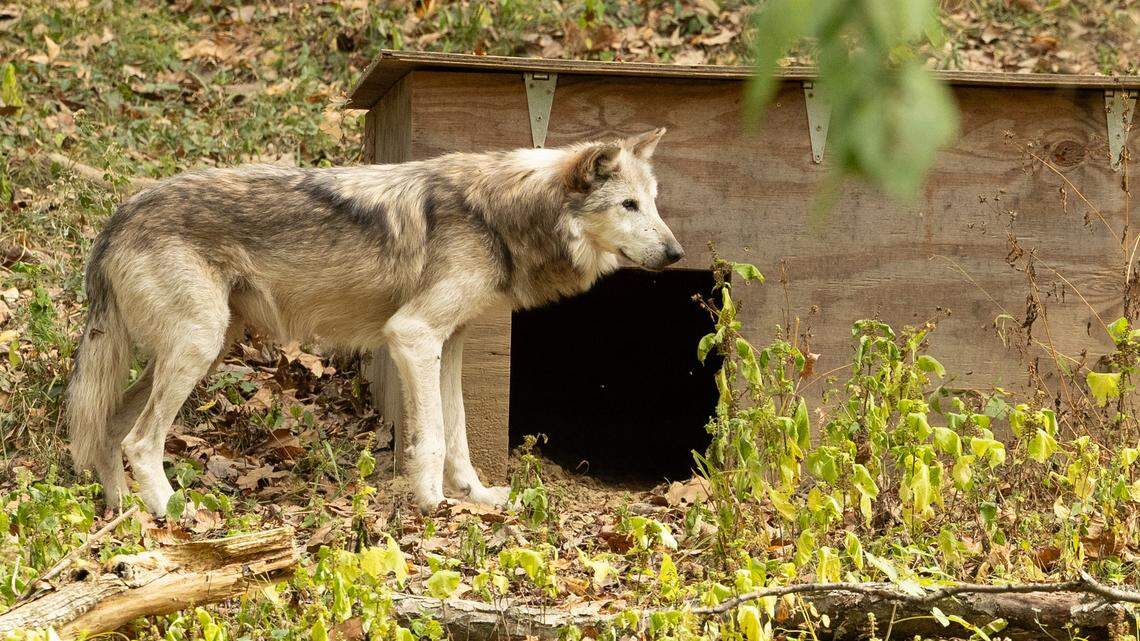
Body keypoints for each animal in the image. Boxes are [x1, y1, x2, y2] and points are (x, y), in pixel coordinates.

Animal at [66, 127, 683, 516]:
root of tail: (118, 216)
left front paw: (476, 497)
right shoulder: (412, 336)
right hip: (199, 347)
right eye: (628, 205)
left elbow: (458, 435)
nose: (677, 253)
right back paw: (179, 514)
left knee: (112, 429)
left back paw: (123, 518)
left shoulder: (448, 345)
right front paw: (432, 504)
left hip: (206, 346)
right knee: (142, 440)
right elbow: (432, 436)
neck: (500, 213)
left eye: (654, 202)